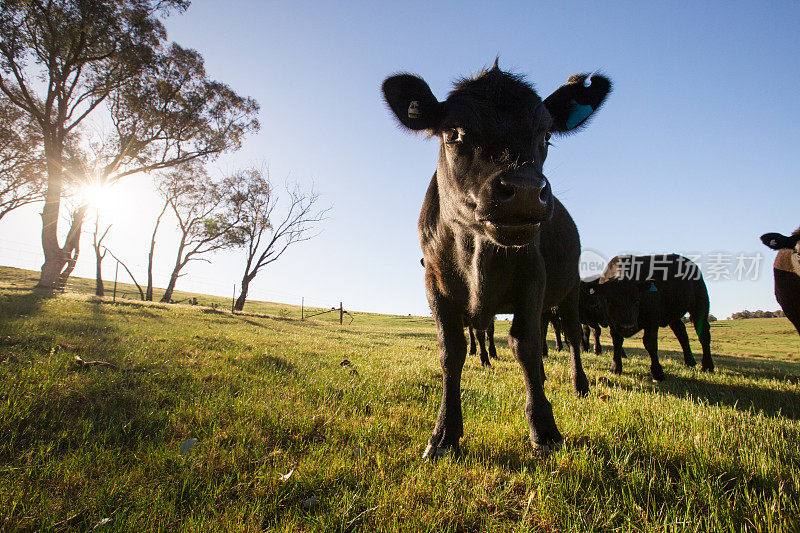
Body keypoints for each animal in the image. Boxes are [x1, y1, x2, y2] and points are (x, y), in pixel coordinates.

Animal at [382, 61, 612, 454]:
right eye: (453, 132)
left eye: (546, 136)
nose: (525, 191)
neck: (477, 257)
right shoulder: (435, 283)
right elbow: (452, 350)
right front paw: (444, 433)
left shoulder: (533, 278)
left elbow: (526, 345)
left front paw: (544, 429)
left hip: (569, 293)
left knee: (572, 336)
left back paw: (578, 384)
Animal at [592, 252, 716, 380]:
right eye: (609, 301)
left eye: (637, 300)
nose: (628, 327)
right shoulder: (612, 322)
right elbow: (617, 341)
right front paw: (615, 367)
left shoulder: (652, 317)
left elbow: (650, 343)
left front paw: (657, 372)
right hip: (673, 316)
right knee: (681, 333)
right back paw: (690, 362)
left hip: (700, 305)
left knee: (704, 334)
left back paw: (707, 366)